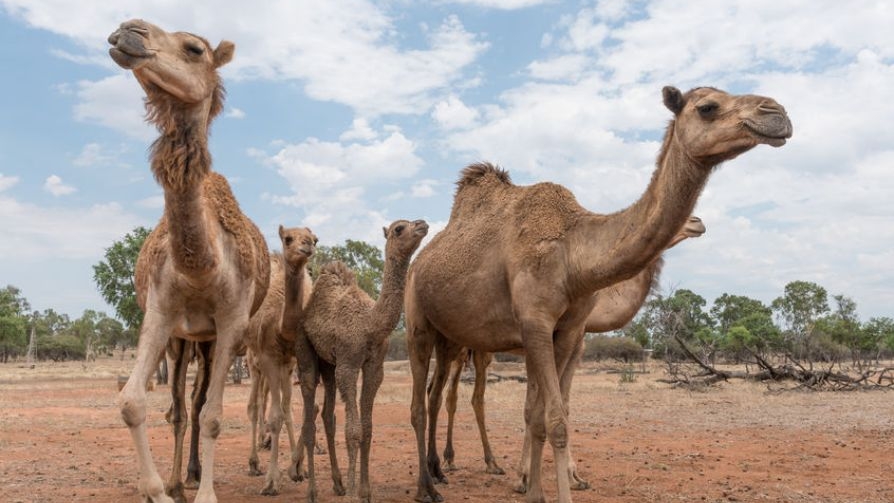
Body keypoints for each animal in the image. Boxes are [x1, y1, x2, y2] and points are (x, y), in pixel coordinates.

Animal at [109, 19, 270, 503]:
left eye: (195, 49)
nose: (127, 30)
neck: (201, 266)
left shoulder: (233, 322)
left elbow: (213, 415)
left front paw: (206, 492)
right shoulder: (161, 312)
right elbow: (132, 401)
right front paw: (159, 489)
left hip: (211, 340)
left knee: (197, 405)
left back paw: (195, 474)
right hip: (183, 341)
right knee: (180, 406)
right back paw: (180, 478)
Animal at [242, 227, 318, 496]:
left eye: (315, 239)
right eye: (288, 239)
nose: (307, 246)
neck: (281, 327)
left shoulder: (296, 359)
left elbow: (302, 410)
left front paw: (297, 468)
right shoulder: (268, 359)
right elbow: (274, 417)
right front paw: (272, 481)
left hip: (286, 366)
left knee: (285, 408)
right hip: (254, 361)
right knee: (254, 406)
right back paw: (254, 463)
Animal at [294, 220, 430, 503]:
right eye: (399, 228)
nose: (422, 224)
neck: (370, 325)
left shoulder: (373, 366)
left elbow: (367, 428)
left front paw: (364, 491)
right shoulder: (348, 365)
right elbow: (353, 431)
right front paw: (353, 493)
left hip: (329, 364)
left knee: (328, 415)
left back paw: (337, 484)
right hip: (305, 350)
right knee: (309, 416)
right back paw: (312, 491)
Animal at [440, 216, 708, 484]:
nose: (698, 222)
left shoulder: (569, 343)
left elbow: (554, 404)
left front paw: (562, 475)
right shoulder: (560, 343)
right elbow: (537, 406)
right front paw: (531, 476)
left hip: (474, 350)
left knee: (463, 396)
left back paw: (469, 462)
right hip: (463, 346)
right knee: (458, 395)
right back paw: (457, 464)